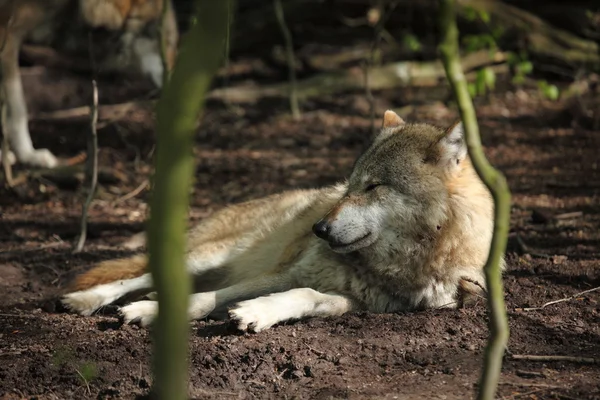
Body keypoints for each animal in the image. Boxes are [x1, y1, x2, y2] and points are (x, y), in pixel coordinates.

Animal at [61, 111, 496, 332]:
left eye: (373, 186)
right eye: (350, 185)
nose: (318, 230)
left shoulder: (356, 302)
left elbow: (305, 296)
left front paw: (256, 313)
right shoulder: (281, 272)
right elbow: (205, 299)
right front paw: (148, 312)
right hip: (210, 257)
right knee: (139, 277)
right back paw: (85, 300)